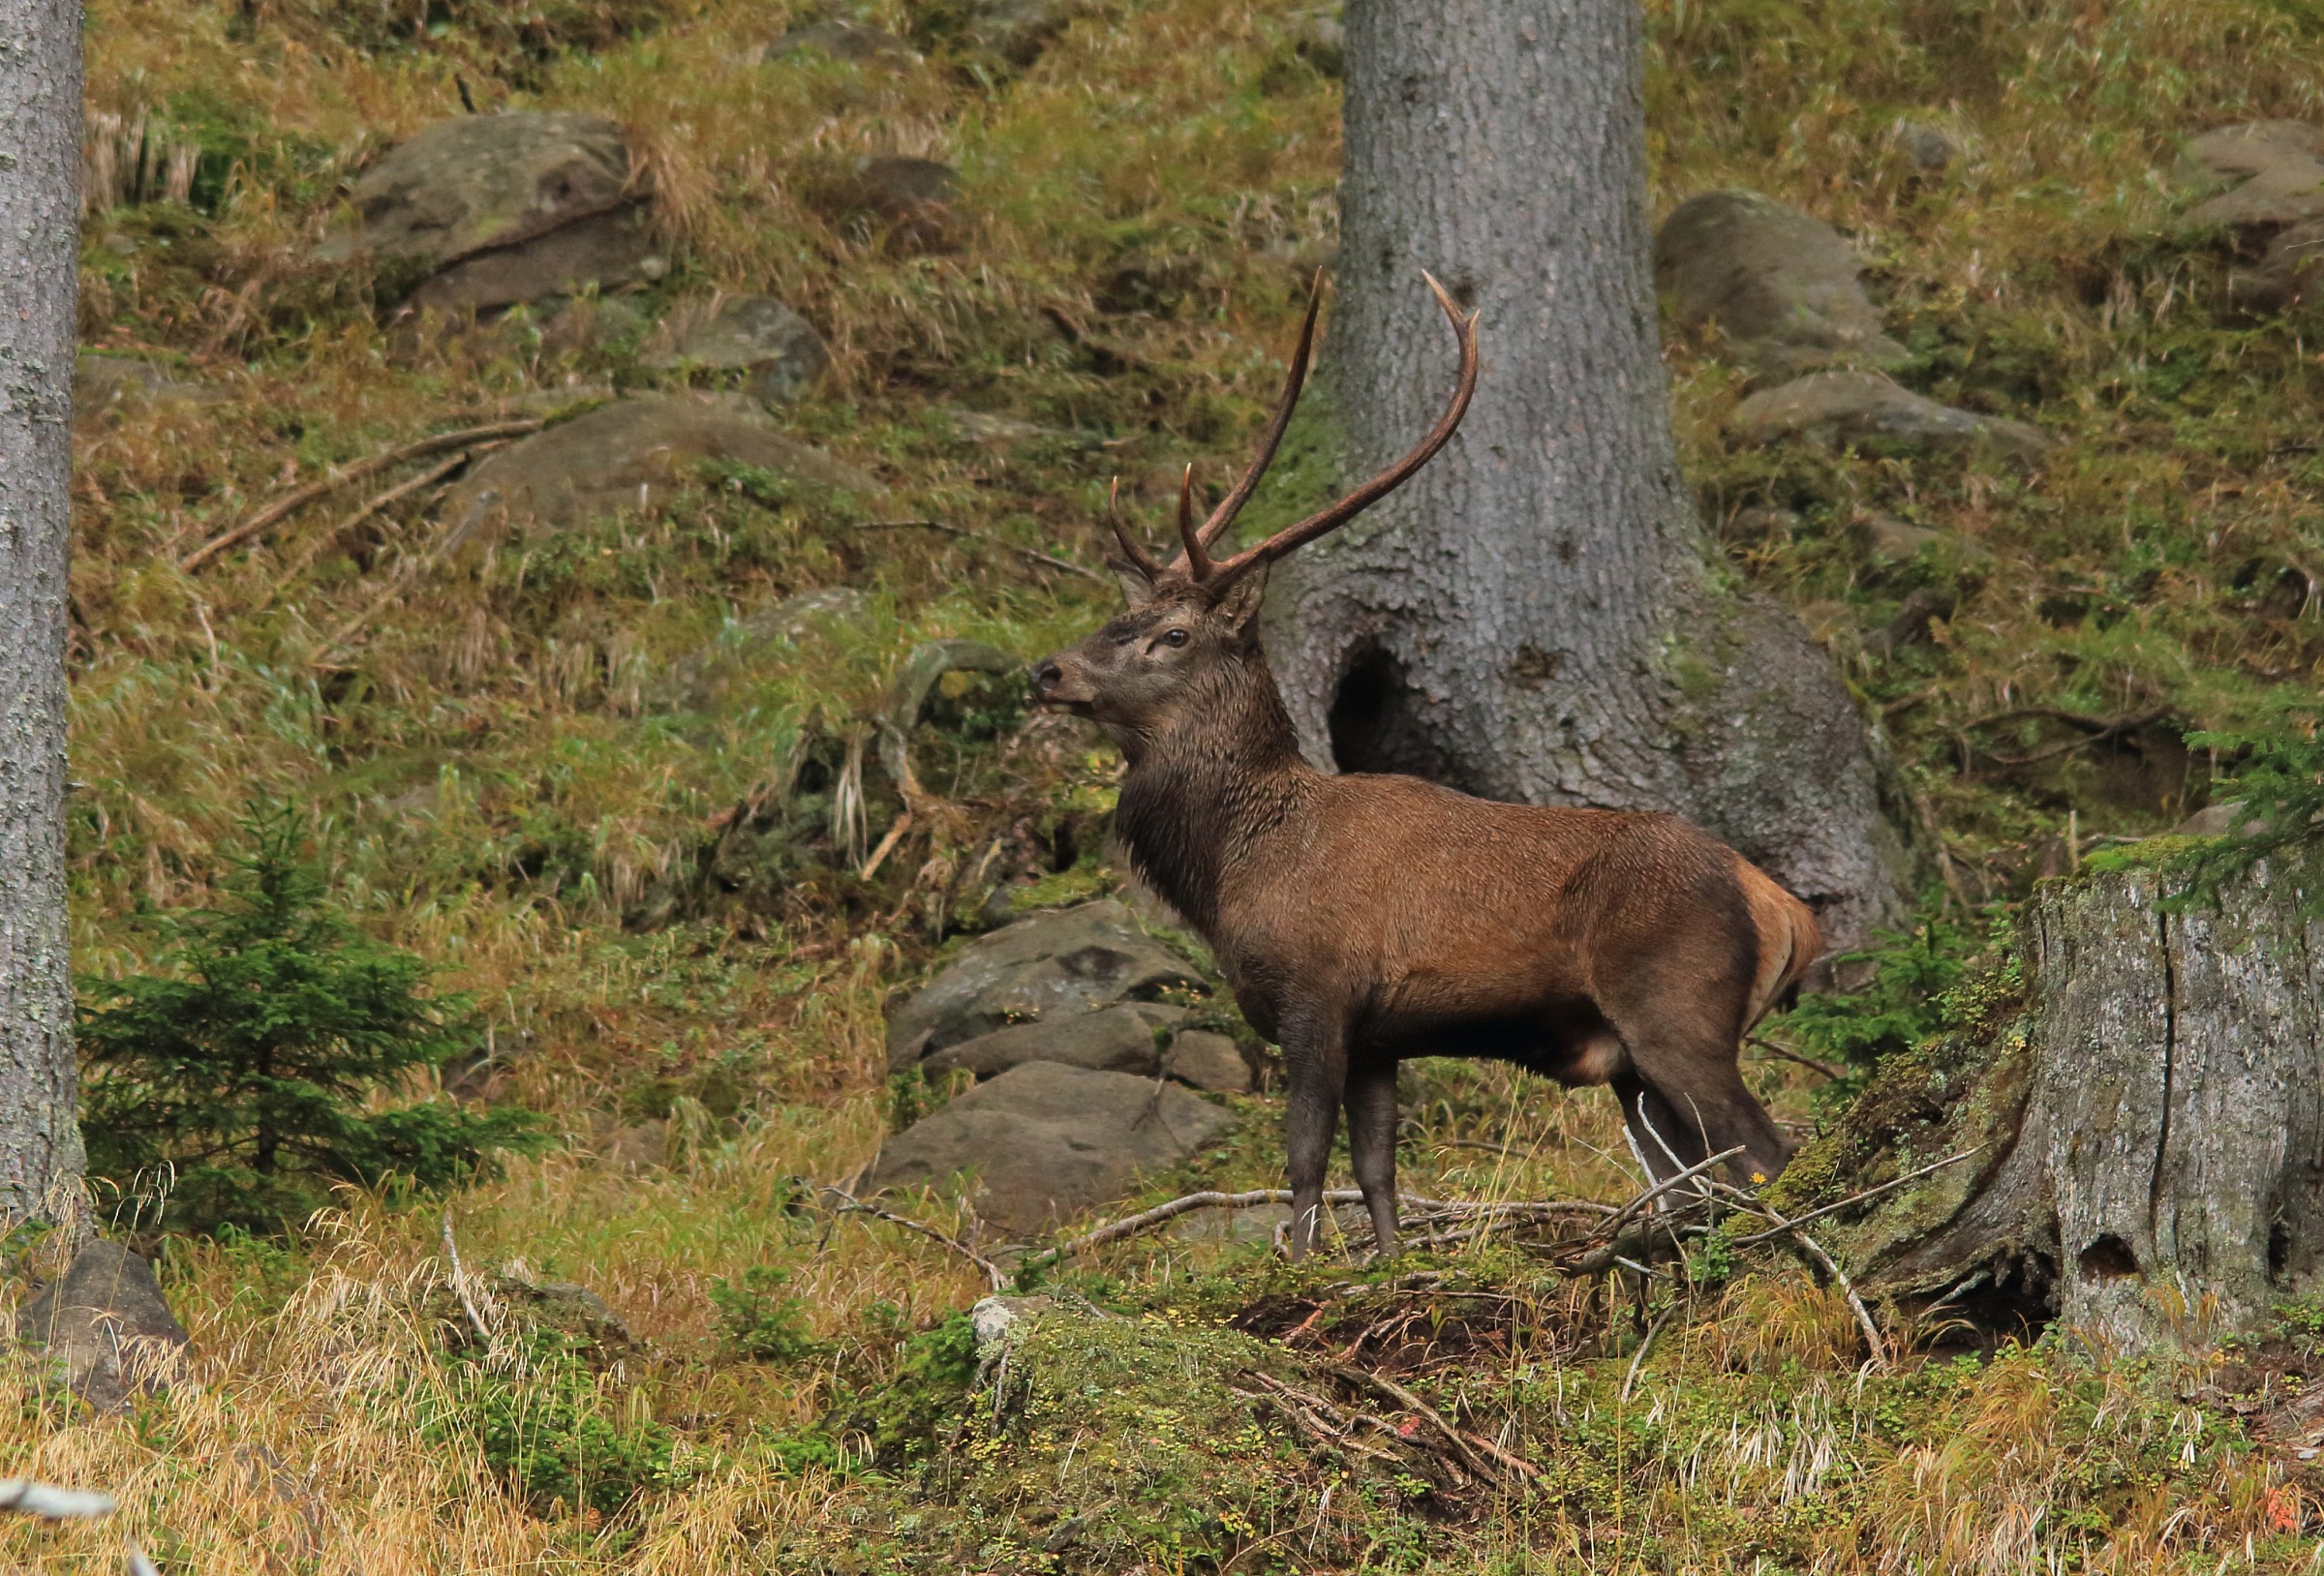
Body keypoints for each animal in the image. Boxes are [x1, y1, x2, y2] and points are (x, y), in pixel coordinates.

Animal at [1030, 276, 1823, 1258]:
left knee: (1765, 1151)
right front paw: (1385, 1266)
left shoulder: (1316, 996)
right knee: (1699, 1179)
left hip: (1679, 1010)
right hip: (1633, 1066)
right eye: (1118, 616)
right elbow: (1378, 1173)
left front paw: (1298, 1268)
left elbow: (1303, 1160)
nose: (1048, 671)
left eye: (1171, 635)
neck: (1236, 867)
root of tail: (1785, 908)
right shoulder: (1381, 1038)